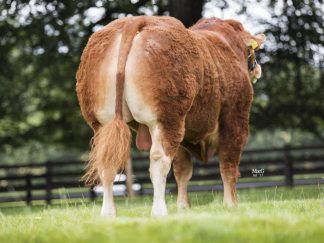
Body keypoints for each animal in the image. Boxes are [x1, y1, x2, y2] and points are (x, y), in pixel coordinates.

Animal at [76, 15, 266, 216]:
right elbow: (228, 165)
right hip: (166, 120)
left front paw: (183, 206)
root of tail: (133, 20)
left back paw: (108, 212)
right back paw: (159, 211)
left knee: (106, 162)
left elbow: (182, 170)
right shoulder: (235, 118)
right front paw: (231, 204)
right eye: (251, 52)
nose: (257, 69)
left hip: (102, 123)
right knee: (159, 162)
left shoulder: (185, 132)